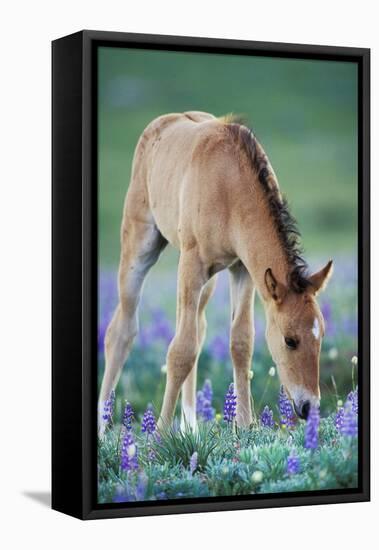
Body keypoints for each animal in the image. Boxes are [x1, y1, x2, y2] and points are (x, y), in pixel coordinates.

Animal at [98, 113, 332, 436]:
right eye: (290, 340)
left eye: (321, 336)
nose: (309, 408)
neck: (229, 185)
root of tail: (161, 122)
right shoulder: (192, 262)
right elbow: (180, 350)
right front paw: (159, 434)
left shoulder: (243, 268)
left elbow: (240, 342)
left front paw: (244, 426)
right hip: (140, 247)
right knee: (121, 331)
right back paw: (103, 424)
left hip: (208, 281)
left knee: (198, 328)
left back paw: (190, 428)